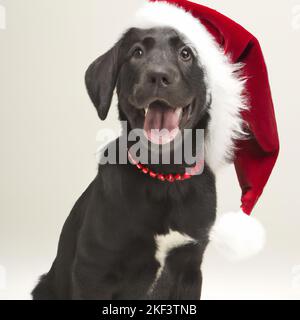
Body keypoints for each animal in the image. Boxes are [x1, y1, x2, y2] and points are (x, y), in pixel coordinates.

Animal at [32, 27, 216, 300]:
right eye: (137, 52)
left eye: (186, 53)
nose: (158, 76)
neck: (164, 177)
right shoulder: (92, 270)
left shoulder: (190, 268)